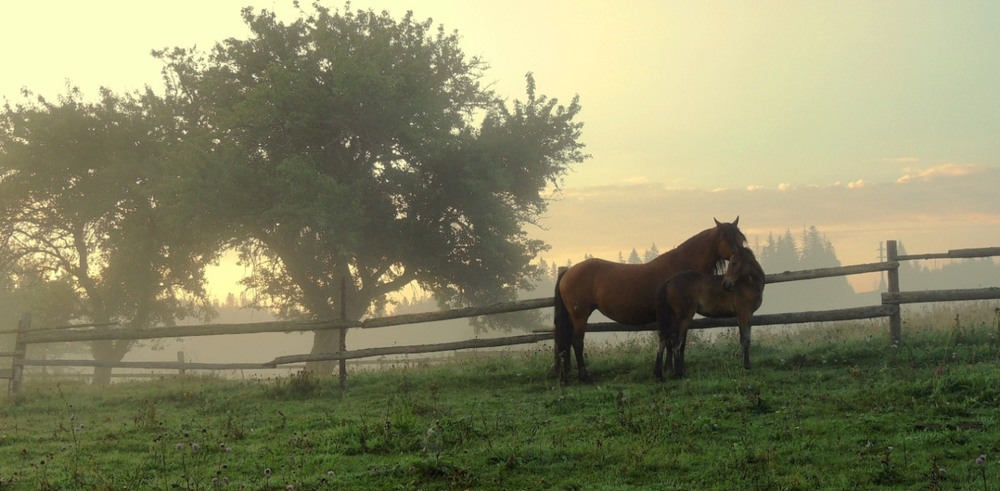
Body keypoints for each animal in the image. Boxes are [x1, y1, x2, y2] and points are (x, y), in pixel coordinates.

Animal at [552, 218, 748, 384]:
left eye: (741, 239)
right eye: (729, 239)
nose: (744, 259)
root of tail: (568, 271)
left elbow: (671, 341)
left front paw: (667, 368)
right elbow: (675, 341)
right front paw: (671, 369)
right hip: (580, 316)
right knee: (577, 342)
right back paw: (585, 377)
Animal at [656, 246, 764, 380]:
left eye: (734, 263)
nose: (726, 285)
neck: (749, 283)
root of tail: (668, 282)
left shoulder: (745, 316)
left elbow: (744, 339)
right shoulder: (744, 314)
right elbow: (745, 340)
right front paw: (747, 367)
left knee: (664, 342)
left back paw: (660, 374)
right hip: (683, 318)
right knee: (676, 344)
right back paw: (679, 373)